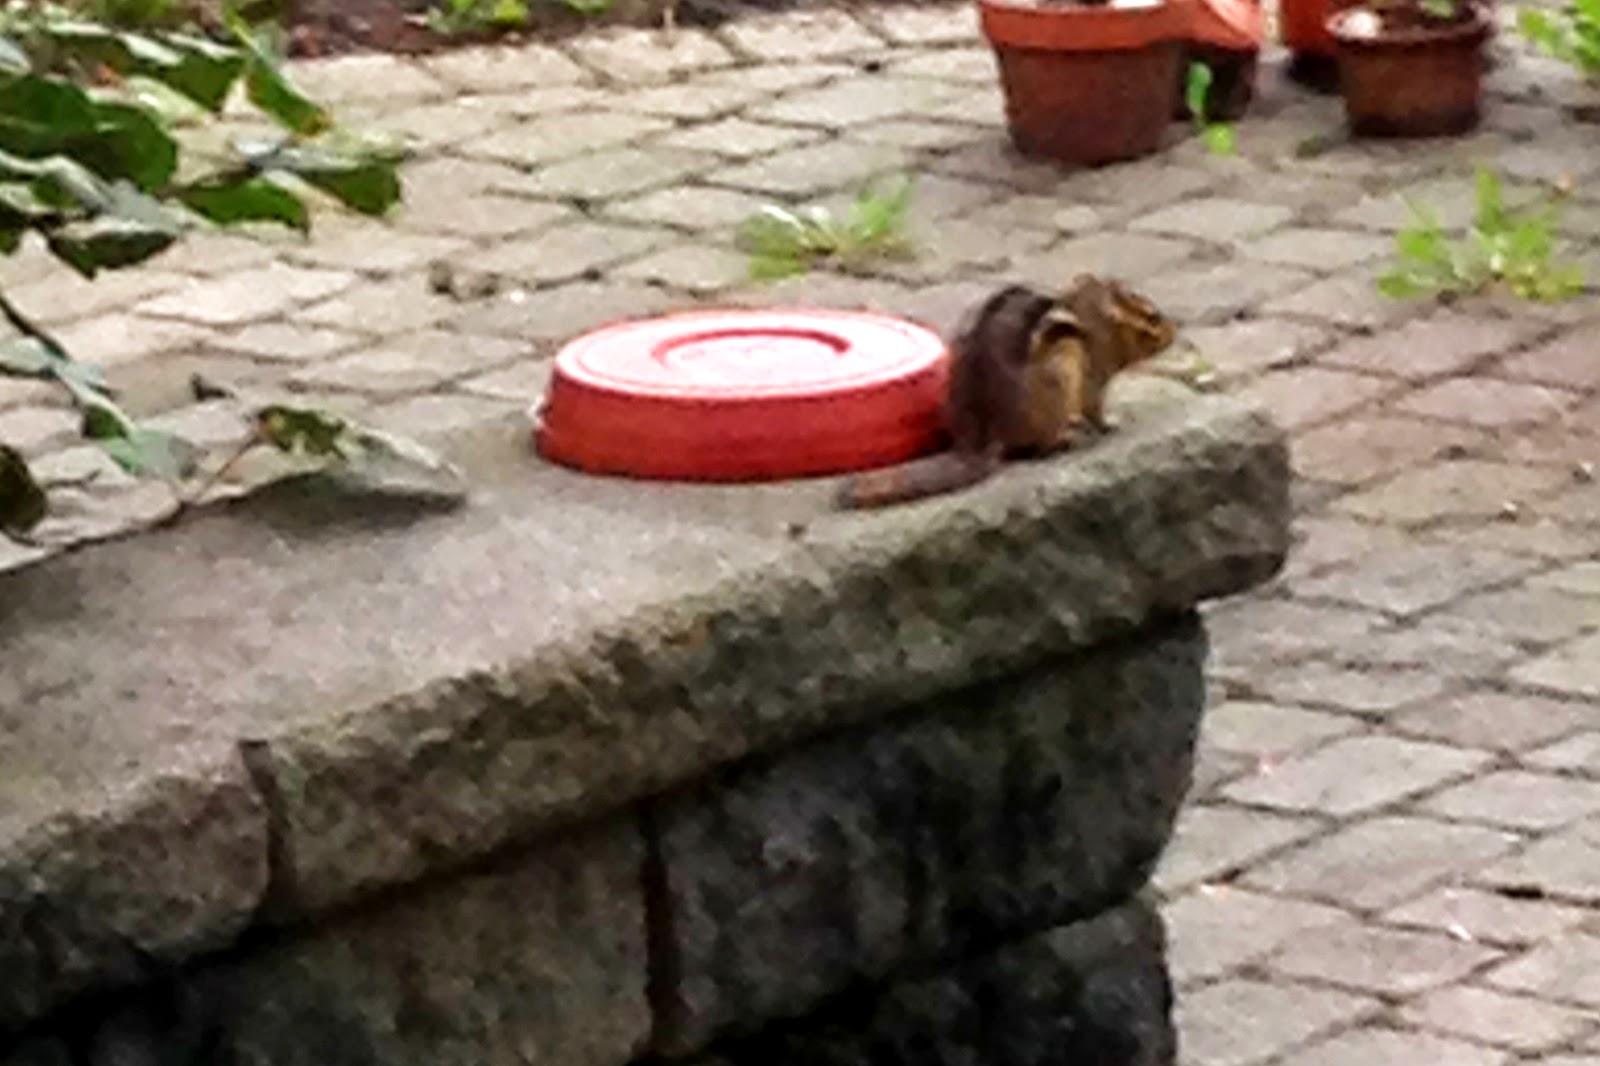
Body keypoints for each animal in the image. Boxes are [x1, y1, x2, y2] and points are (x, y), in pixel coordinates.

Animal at [836, 274, 1176, 510]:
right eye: (1153, 317)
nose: (1174, 332)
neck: (1093, 316)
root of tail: (983, 438)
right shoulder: (1093, 371)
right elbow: (1094, 406)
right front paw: (1109, 424)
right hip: (1061, 372)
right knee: (1040, 447)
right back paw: (1066, 438)